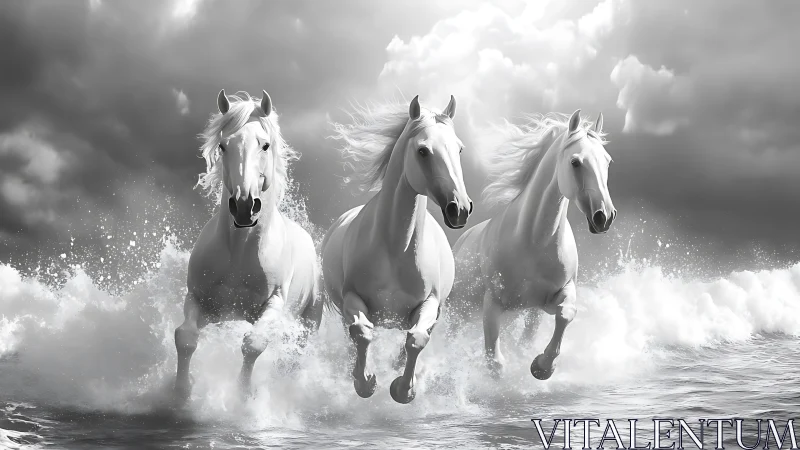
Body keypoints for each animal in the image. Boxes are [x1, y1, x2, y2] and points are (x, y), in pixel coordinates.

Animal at [173, 90, 322, 402]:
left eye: (264, 145)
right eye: (222, 145)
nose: (244, 207)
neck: (239, 252)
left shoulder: (274, 305)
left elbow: (253, 344)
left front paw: (243, 397)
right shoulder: (198, 300)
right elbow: (186, 337)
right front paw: (181, 392)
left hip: (308, 323)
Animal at [321, 95, 472, 403]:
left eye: (459, 149)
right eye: (423, 151)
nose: (460, 209)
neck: (395, 249)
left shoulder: (429, 304)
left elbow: (416, 339)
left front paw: (403, 389)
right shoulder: (352, 299)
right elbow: (362, 333)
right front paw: (365, 382)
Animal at [450, 110, 615, 380]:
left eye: (607, 162)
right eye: (575, 162)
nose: (605, 216)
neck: (533, 242)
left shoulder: (547, 300)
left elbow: (565, 314)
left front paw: (542, 366)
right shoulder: (493, 303)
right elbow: (495, 363)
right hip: (456, 312)